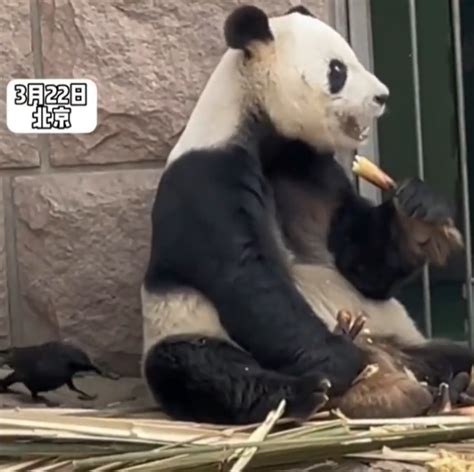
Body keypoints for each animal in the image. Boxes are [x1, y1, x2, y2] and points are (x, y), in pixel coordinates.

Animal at [141, 3, 474, 424]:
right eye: (337, 70)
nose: (382, 96)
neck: (261, 129)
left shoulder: (312, 169)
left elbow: (359, 263)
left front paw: (418, 217)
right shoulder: (207, 180)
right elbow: (248, 280)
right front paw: (345, 361)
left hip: (401, 334)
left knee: (455, 354)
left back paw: (450, 386)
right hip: (183, 324)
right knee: (200, 367)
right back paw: (325, 390)